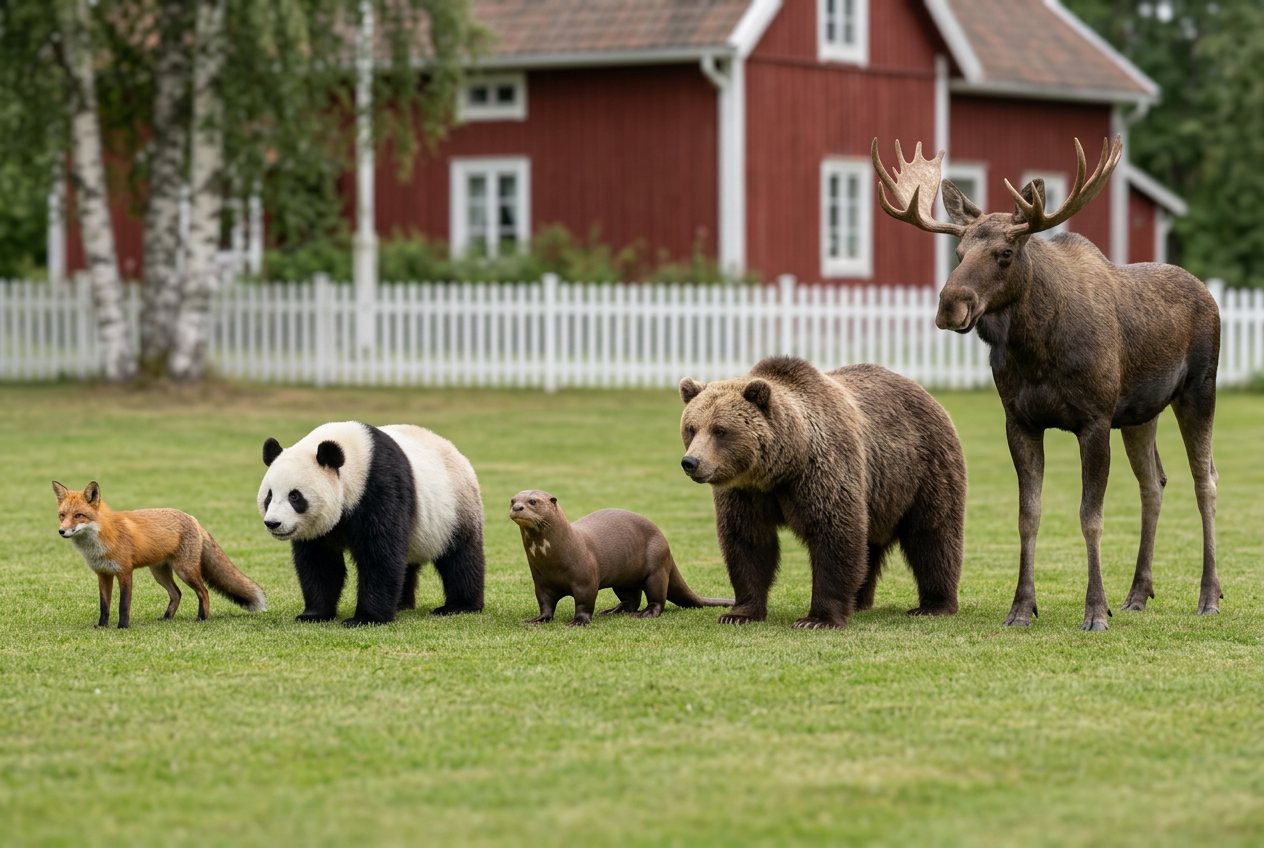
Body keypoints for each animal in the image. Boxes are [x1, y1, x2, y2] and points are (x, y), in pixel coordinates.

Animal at [53, 480, 267, 628]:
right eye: (62, 515)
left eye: (79, 515)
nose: (61, 531)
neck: (103, 537)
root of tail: (193, 518)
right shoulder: (103, 574)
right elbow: (104, 605)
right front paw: (103, 626)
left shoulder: (124, 572)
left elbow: (123, 604)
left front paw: (122, 626)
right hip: (160, 573)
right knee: (177, 593)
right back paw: (166, 618)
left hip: (185, 571)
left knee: (203, 592)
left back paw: (201, 618)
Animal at [678, 355, 967, 628]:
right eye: (691, 427)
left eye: (720, 430)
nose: (691, 462)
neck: (781, 467)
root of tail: (924, 392)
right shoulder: (746, 493)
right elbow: (748, 542)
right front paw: (739, 613)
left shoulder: (822, 471)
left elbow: (834, 534)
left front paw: (817, 619)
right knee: (870, 546)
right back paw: (858, 601)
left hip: (922, 470)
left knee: (933, 535)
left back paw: (933, 605)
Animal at [870, 136, 1221, 631]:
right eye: (958, 254)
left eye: (1005, 253)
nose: (950, 306)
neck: (1038, 354)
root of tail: (1209, 294)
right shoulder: (1020, 420)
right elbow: (1028, 515)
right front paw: (1021, 607)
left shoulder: (1094, 419)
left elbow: (1090, 517)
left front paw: (1095, 611)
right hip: (1140, 413)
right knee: (1154, 484)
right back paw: (1137, 593)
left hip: (1199, 390)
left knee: (1204, 480)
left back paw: (1209, 595)